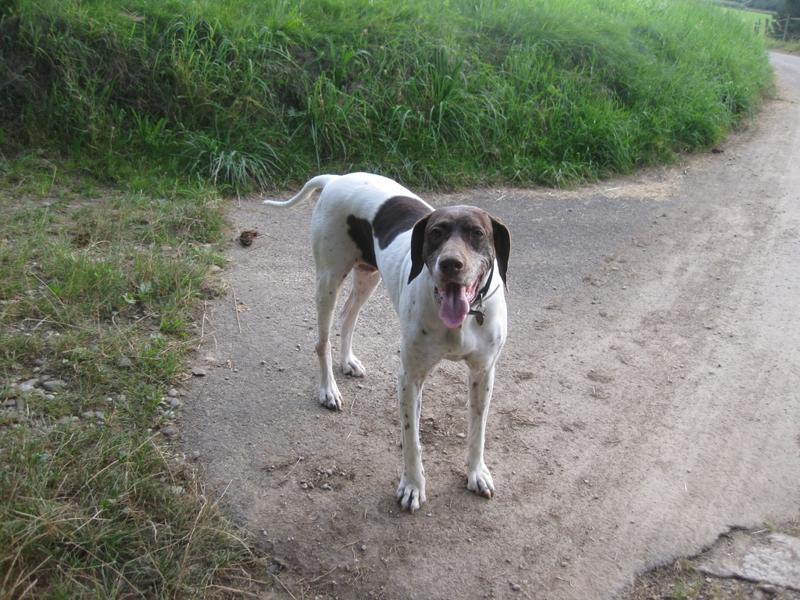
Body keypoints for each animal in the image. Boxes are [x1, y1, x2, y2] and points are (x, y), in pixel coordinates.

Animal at [266, 172, 510, 510]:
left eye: (477, 233)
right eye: (435, 233)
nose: (450, 264)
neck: (461, 320)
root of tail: (336, 178)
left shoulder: (483, 374)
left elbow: (478, 430)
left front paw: (476, 473)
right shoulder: (409, 378)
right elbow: (412, 440)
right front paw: (412, 485)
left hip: (368, 275)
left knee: (348, 315)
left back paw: (348, 362)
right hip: (328, 279)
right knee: (322, 341)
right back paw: (329, 390)